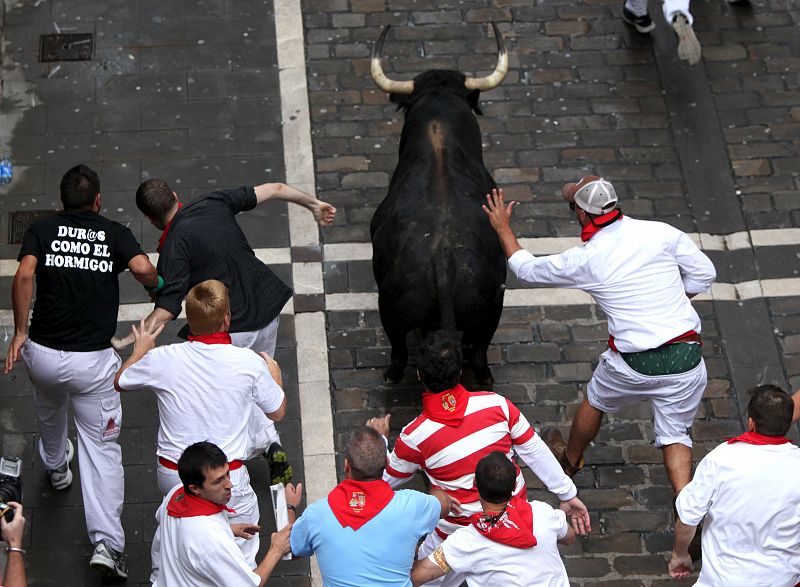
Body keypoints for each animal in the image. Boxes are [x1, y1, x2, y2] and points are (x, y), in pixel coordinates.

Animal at [368, 25, 506, 386]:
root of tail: (443, 262)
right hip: (492, 306)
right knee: (478, 351)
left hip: (391, 310)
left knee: (400, 352)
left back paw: (392, 374)